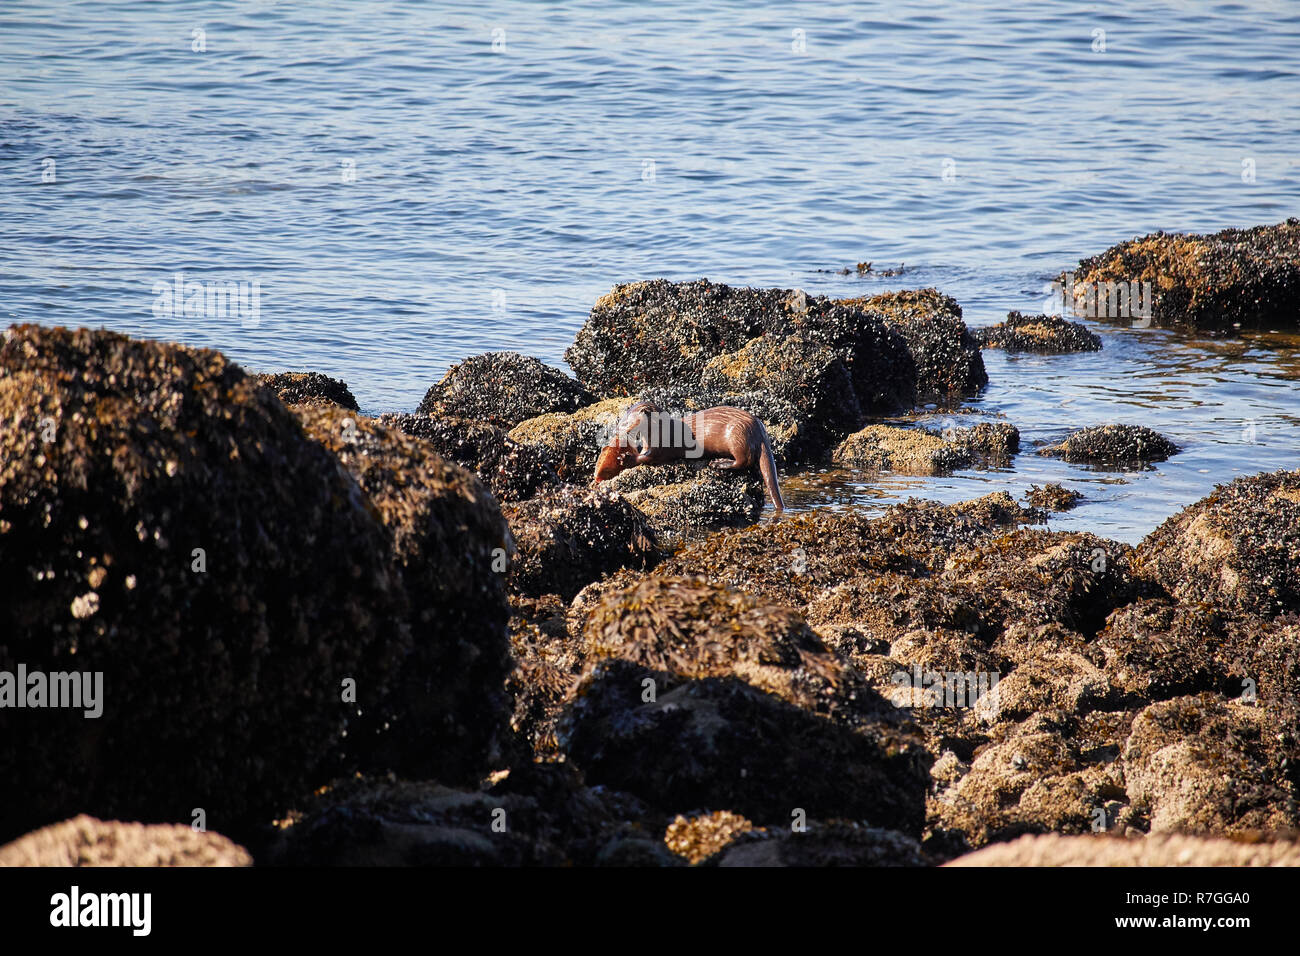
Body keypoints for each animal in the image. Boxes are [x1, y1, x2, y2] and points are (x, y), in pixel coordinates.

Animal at [593, 400, 785, 512]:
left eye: (625, 422)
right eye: (620, 420)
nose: (617, 429)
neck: (659, 432)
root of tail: (759, 428)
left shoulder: (659, 448)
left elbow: (646, 459)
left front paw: (626, 458)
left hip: (737, 436)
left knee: (744, 461)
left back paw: (719, 463)